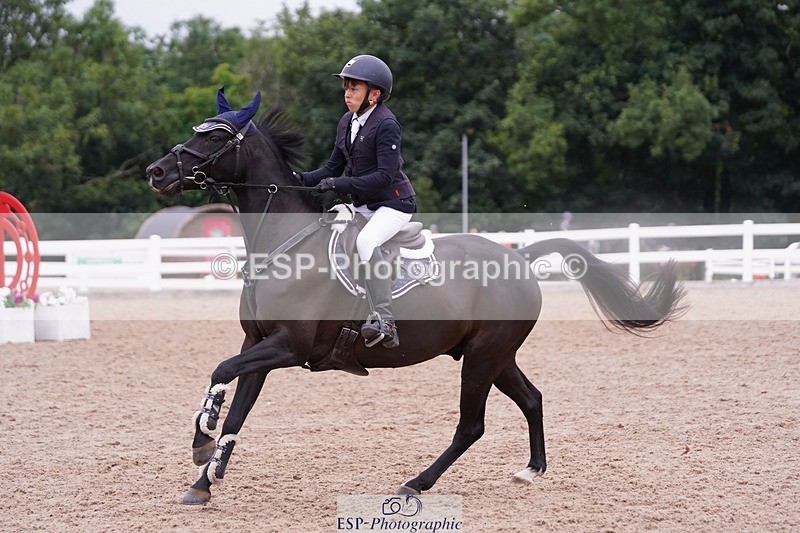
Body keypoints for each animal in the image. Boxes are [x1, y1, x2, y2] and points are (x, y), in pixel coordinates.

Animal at [146, 88, 686, 505]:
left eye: (216, 136)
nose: (157, 172)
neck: (284, 246)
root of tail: (519, 257)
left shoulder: (289, 347)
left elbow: (220, 373)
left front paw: (202, 440)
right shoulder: (258, 345)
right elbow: (236, 403)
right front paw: (204, 479)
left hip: (484, 355)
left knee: (471, 426)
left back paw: (416, 483)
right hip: (492, 353)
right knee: (531, 398)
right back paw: (530, 470)